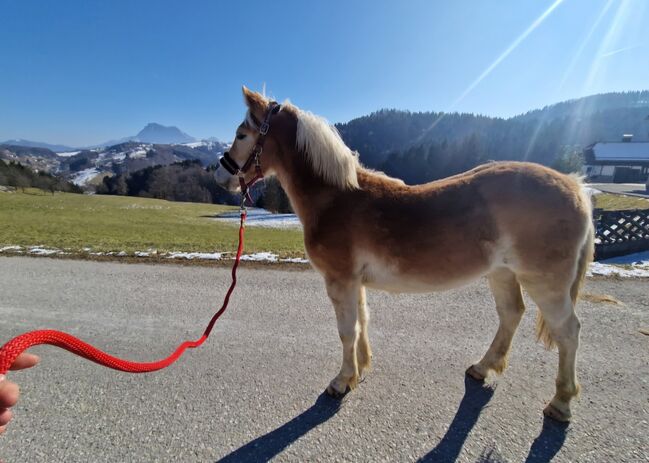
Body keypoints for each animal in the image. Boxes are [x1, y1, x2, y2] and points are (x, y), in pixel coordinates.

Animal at [213, 87, 592, 424]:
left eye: (242, 134)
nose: (220, 176)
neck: (336, 198)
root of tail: (576, 188)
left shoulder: (340, 280)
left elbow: (347, 330)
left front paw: (341, 381)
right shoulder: (354, 282)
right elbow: (362, 323)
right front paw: (360, 369)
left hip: (546, 283)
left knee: (569, 331)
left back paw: (560, 403)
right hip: (502, 273)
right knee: (511, 313)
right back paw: (482, 368)